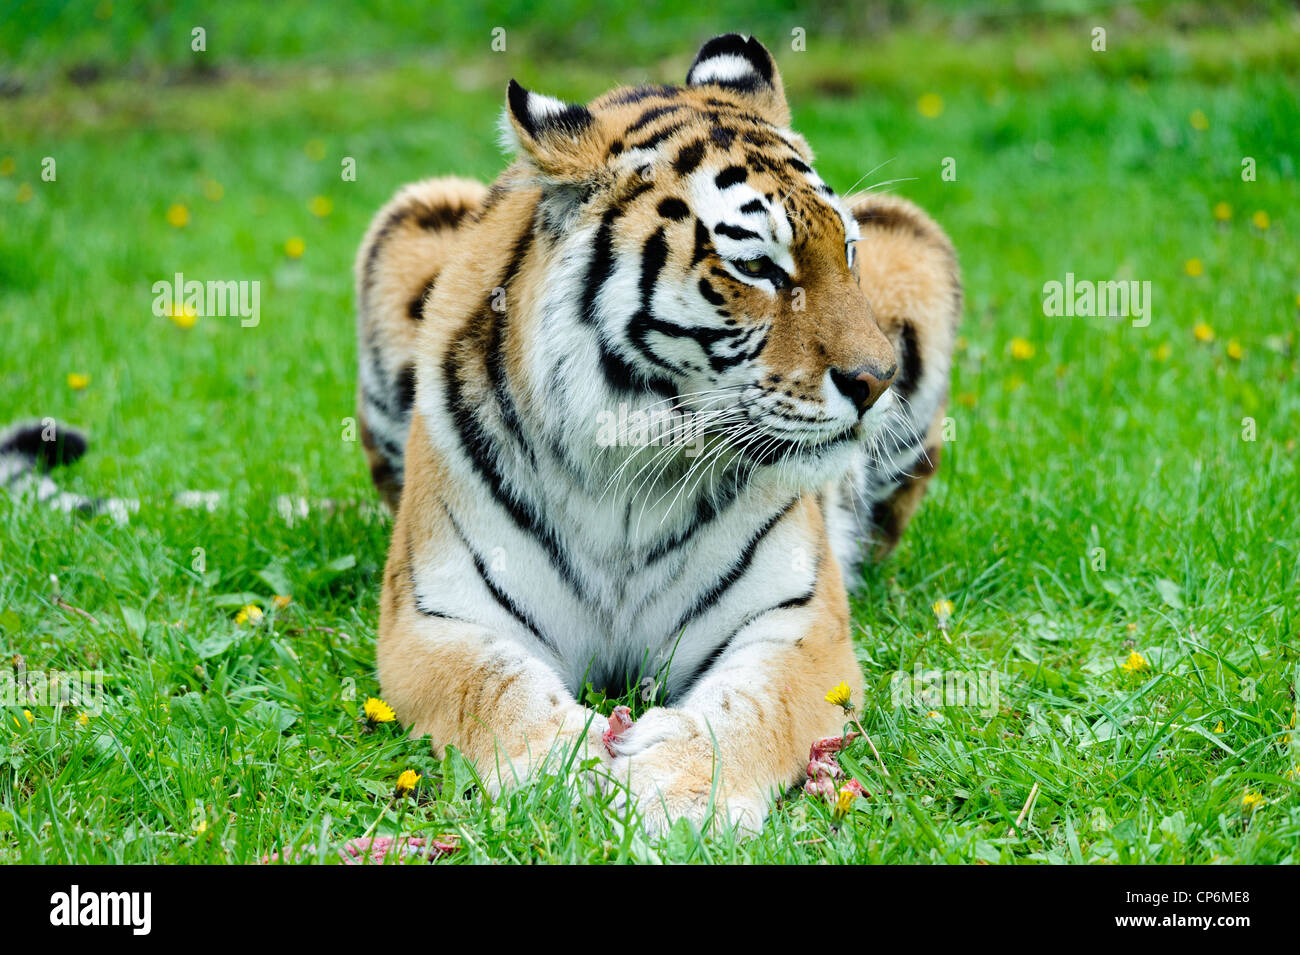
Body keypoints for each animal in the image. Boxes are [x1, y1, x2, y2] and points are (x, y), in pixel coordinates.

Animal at [356, 33, 967, 831]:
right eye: (755, 266)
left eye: (849, 252)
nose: (876, 380)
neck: (628, 464)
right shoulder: (435, 619)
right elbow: (496, 688)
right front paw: (564, 774)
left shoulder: (796, 623)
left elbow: (748, 708)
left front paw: (675, 794)